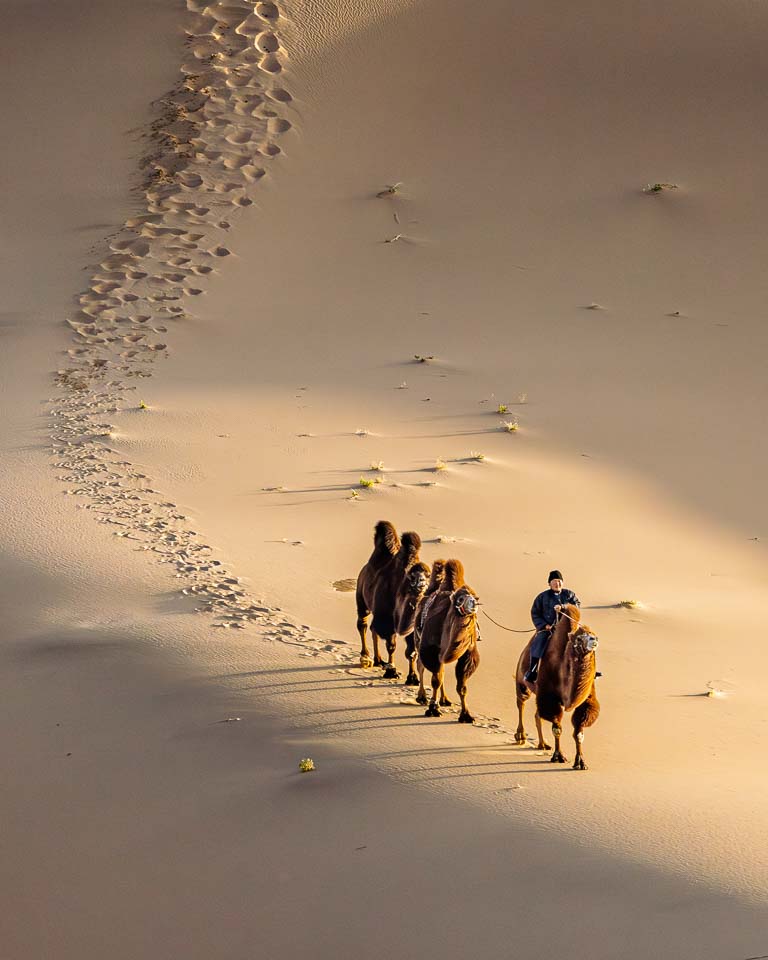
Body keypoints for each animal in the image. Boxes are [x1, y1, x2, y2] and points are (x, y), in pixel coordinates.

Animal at [355, 520, 400, 667]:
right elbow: (390, 643)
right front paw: (391, 667)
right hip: (361, 599)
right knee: (363, 624)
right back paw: (366, 656)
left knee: (373, 629)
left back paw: (378, 659)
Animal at [416, 559, 480, 723]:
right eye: (460, 599)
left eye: (475, 597)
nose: (473, 604)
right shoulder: (430, 649)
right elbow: (435, 680)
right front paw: (433, 709)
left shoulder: (467, 654)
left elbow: (461, 686)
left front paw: (466, 715)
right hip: (418, 640)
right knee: (421, 666)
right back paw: (421, 697)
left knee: (442, 670)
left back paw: (444, 699)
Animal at [514, 603, 600, 770]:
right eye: (579, 638)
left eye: (593, 634)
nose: (594, 640)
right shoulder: (550, 697)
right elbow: (557, 729)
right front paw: (558, 756)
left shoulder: (586, 700)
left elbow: (579, 734)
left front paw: (580, 762)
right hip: (522, 681)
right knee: (521, 702)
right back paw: (520, 736)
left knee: (537, 715)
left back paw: (542, 744)